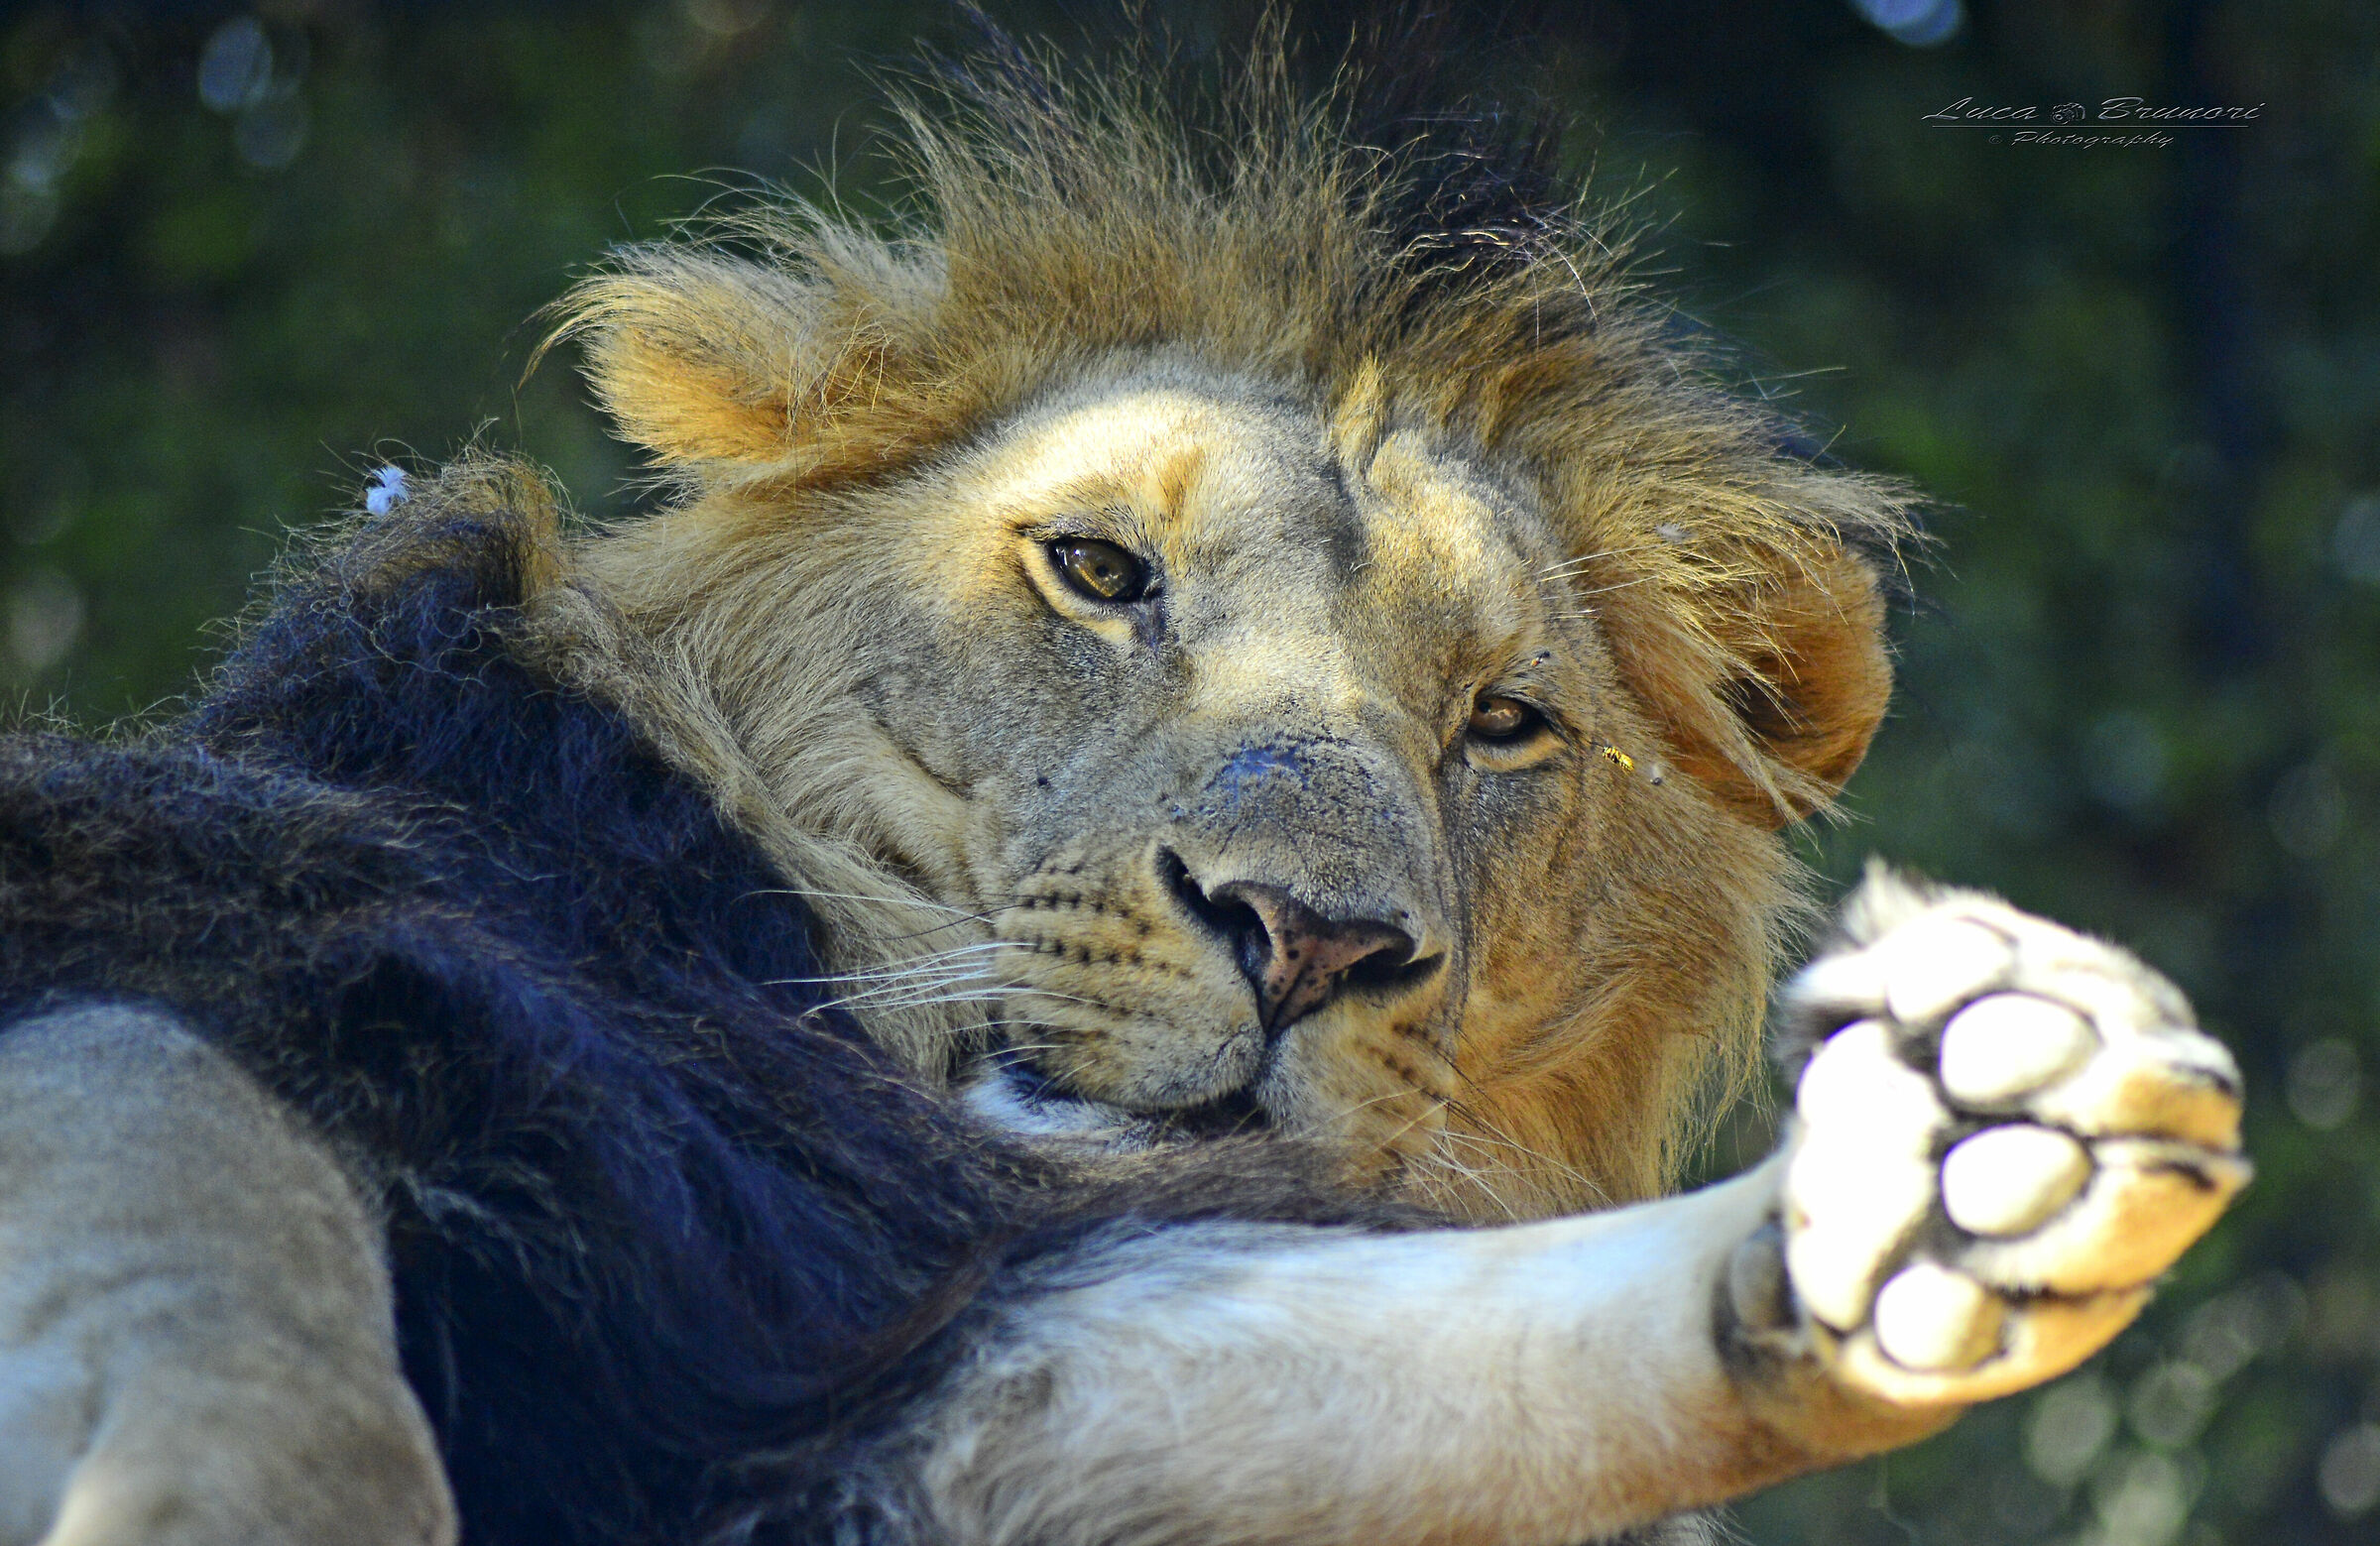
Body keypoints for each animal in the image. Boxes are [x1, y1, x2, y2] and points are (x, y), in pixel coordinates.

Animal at [0, 37, 2244, 1546]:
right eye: (1098, 569)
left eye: (1505, 721)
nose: (1309, 936)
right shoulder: (256, 914)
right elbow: (225, 1247)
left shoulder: (855, 1323)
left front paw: (1942, 1179)